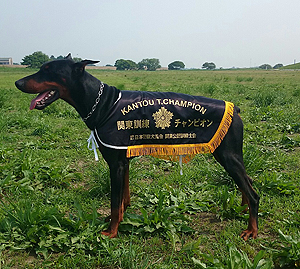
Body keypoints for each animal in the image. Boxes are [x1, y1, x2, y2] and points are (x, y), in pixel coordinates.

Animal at [15, 54, 260, 239]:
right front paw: (119, 219)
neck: (103, 103)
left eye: (48, 71)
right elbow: (123, 198)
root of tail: (235, 109)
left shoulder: (116, 164)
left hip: (227, 155)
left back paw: (251, 230)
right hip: (232, 155)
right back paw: (243, 208)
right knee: (247, 181)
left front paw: (111, 232)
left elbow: (115, 202)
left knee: (254, 193)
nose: (17, 83)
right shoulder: (123, 161)